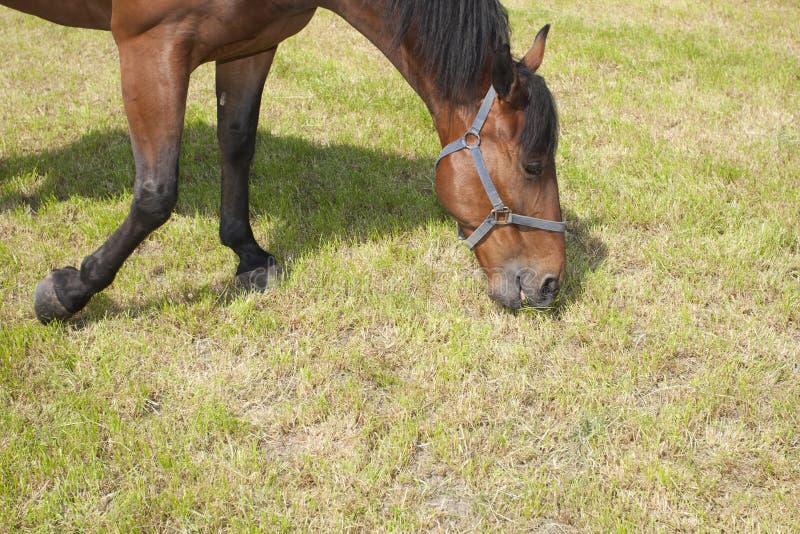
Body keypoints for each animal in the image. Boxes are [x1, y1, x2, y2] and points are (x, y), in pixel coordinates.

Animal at [1, 0, 566, 323]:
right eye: (534, 165)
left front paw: (247, 254)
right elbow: (157, 192)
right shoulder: (151, 44)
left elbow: (237, 144)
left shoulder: (250, 43)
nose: (551, 284)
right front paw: (70, 290)